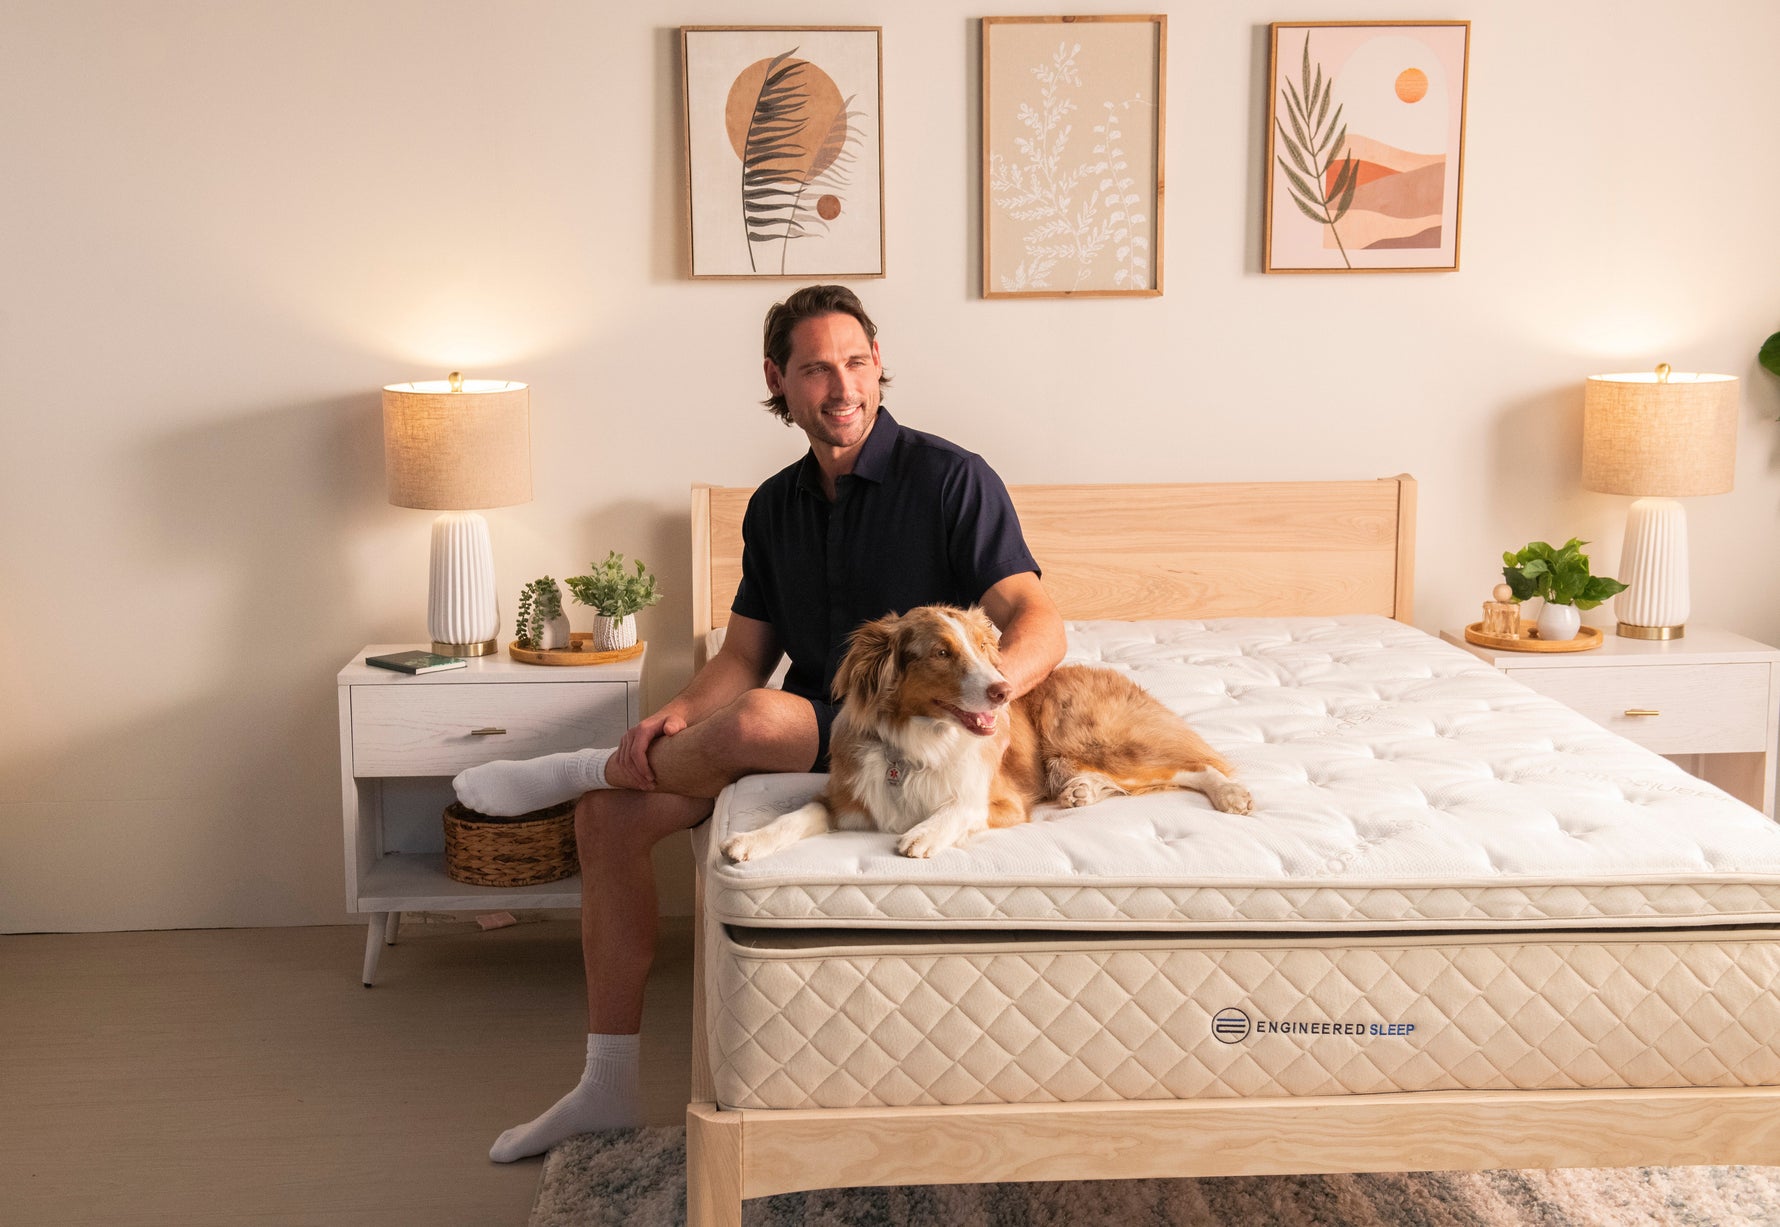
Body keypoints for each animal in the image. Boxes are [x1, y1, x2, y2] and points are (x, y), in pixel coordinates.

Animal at [722, 601, 1253, 861]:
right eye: (941, 653)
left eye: (982, 646)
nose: (1003, 689)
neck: (917, 743)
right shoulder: (843, 799)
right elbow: (795, 816)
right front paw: (749, 841)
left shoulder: (1003, 802)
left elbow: (960, 806)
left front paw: (924, 833)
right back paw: (1080, 790)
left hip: (1092, 738)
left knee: (1194, 764)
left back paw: (1231, 794)